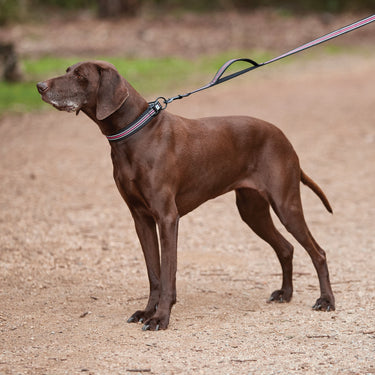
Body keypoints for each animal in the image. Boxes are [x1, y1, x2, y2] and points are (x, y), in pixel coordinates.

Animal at [36, 61, 336, 332]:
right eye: (67, 71)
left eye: (80, 75)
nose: (40, 86)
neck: (137, 133)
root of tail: (283, 137)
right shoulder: (141, 219)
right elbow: (154, 274)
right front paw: (148, 312)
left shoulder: (167, 217)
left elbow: (168, 274)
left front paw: (161, 317)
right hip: (252, 211)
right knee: (286, 248)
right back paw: (286, 294)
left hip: (285, 205)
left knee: (318, 252)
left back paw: (326, 300)